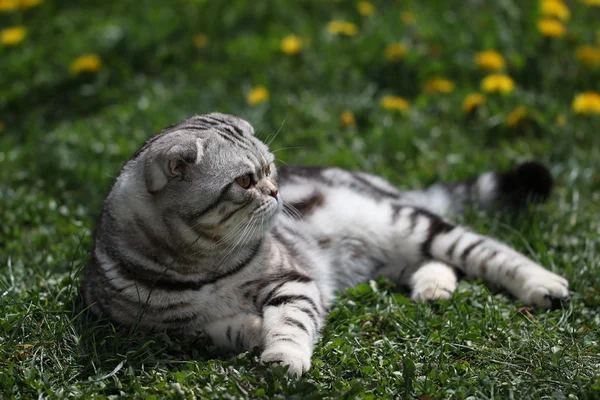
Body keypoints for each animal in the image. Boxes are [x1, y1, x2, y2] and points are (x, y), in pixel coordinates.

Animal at [82, 111, 568, 376]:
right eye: (245, 181)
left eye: (270, 169)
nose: (277, 191)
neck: (198, 267)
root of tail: (384, 185)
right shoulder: (160, 331)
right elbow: (215, 329)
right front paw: (253, 329)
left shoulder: (294, 281)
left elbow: (291, 322)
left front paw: (281, 353)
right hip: (391, 255)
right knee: (436, 263)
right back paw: (433, 288)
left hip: (409, 225)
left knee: (486, 250)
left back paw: (543, 285)